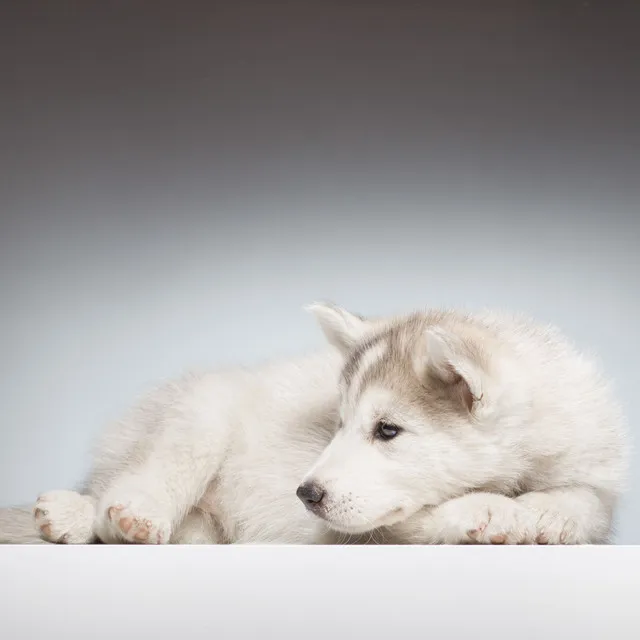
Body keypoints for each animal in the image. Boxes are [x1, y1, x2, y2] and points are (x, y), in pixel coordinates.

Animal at [0, 302, 632, 544]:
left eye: (387, 430)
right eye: (338, 424)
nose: (305, 493)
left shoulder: (593, 469)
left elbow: (587, 503)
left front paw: (547, 513)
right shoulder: (362, 527)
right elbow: (425, 517)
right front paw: (491, 510)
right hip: (203, 410)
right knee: (129, 484)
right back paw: (104, 515)